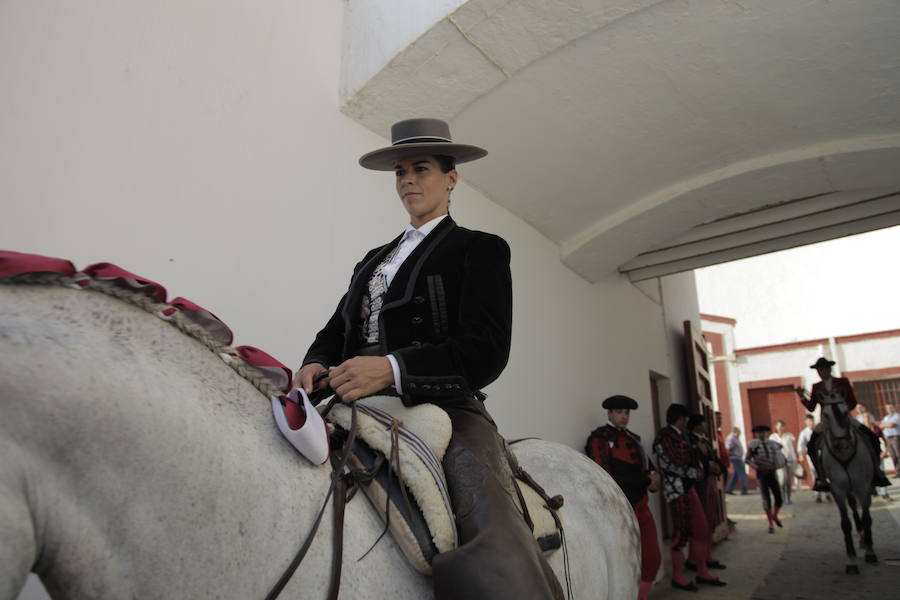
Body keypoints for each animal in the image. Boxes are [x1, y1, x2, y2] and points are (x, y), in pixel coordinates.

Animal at [820, 394, 876, 572]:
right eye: (825, 414)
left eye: (845, 412)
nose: (841, 443)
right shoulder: (837, 489)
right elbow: (845, 523)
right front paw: (851, 561)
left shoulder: (864, 487)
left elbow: (866, 517)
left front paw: (870, 553)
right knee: (853, 507)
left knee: (864, 512)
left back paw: (865, 540)